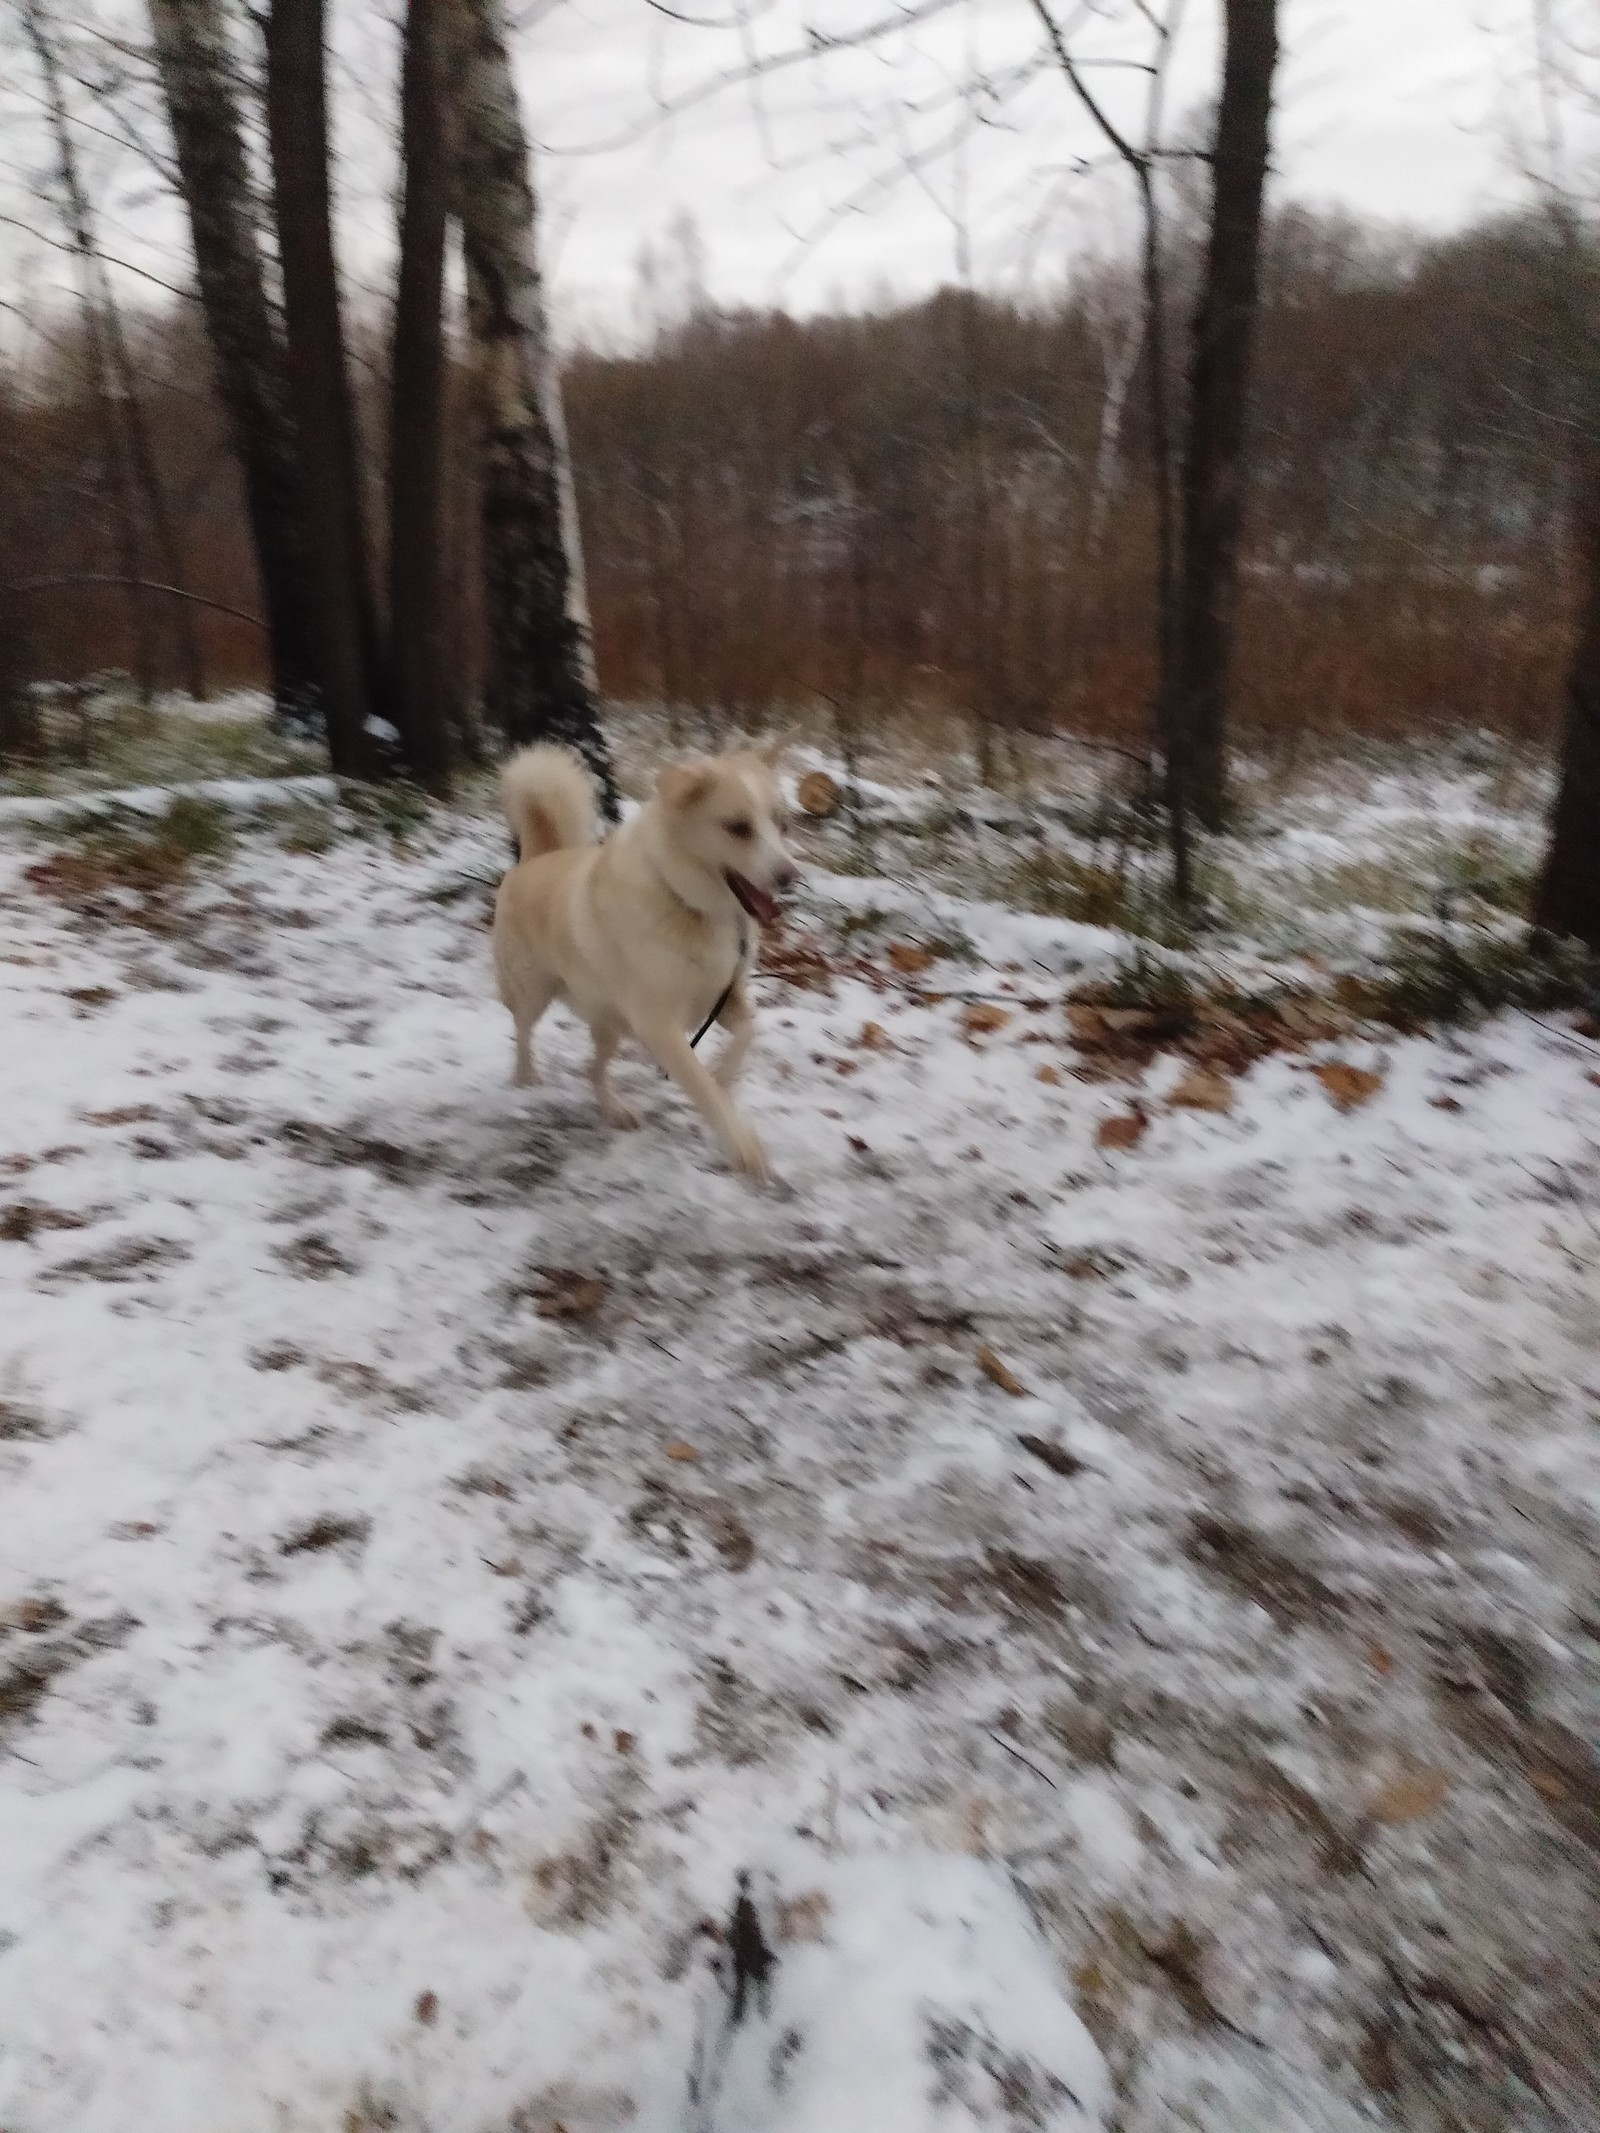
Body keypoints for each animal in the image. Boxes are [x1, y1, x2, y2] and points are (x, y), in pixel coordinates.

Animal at [486, 742, 793, 1185]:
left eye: (781, 823)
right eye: (738, 827)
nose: (790, 877)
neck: (690, 905)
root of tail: (534, 859)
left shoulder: (724, 999)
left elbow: (747, 1035)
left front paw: (723, 1076)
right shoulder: (659, 1026)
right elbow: (701, 1087)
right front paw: (742, 1146)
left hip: (610, 1024)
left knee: (591, 1069)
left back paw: (616, 1111)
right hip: (534, 992)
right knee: (522, 1030)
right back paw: (525, 1077)